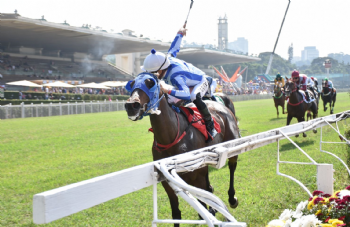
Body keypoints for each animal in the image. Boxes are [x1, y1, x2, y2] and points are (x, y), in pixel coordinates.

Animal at [123, 73, 241, 226]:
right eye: (131, 84)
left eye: (150, 83)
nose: (131, 105)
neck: (171, 137)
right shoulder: (168, 181)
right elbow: (177, 213)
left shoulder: (196, 175)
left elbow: (202, 204)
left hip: (232, 144)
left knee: (232, 166)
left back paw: (232, 199)